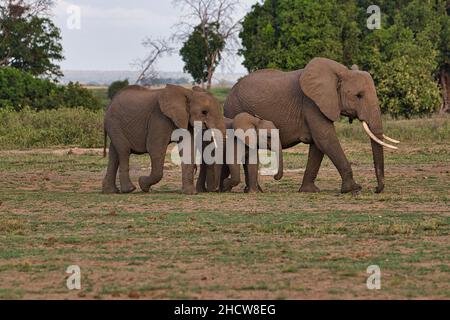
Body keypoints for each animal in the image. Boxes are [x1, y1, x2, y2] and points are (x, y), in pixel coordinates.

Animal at [223, 57, 400, 194]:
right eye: (359, 95)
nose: (376, 189)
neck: (341, 72)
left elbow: (318, 145)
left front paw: (309, 191)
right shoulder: (311, 104)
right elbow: (325, 139)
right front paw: (354, 189)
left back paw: (254, 190)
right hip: (235, 109)